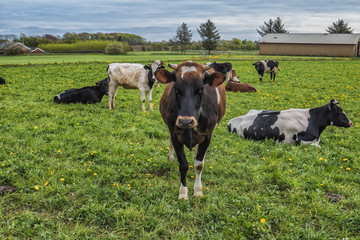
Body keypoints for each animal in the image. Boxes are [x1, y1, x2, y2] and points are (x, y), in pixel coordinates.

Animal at [156, 61, 226, 200]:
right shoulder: (175, 134)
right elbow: (183, 164)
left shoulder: (207, 136)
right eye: (176, 89)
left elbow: (199, 164)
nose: (185, 121)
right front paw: (183, 193)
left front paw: (198, 190)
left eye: (201, 89)